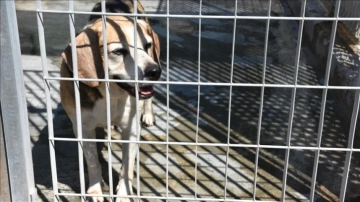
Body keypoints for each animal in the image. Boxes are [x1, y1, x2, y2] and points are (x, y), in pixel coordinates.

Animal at [59, 0, 161, 201]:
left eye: (147, 46)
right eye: (118, 51)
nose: (154, 71)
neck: (110, 94)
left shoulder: (131, 129)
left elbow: (127, 168)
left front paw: (124, 194)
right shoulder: (83, 129)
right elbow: (93, 164)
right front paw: (95, 191)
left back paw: (148, 115)